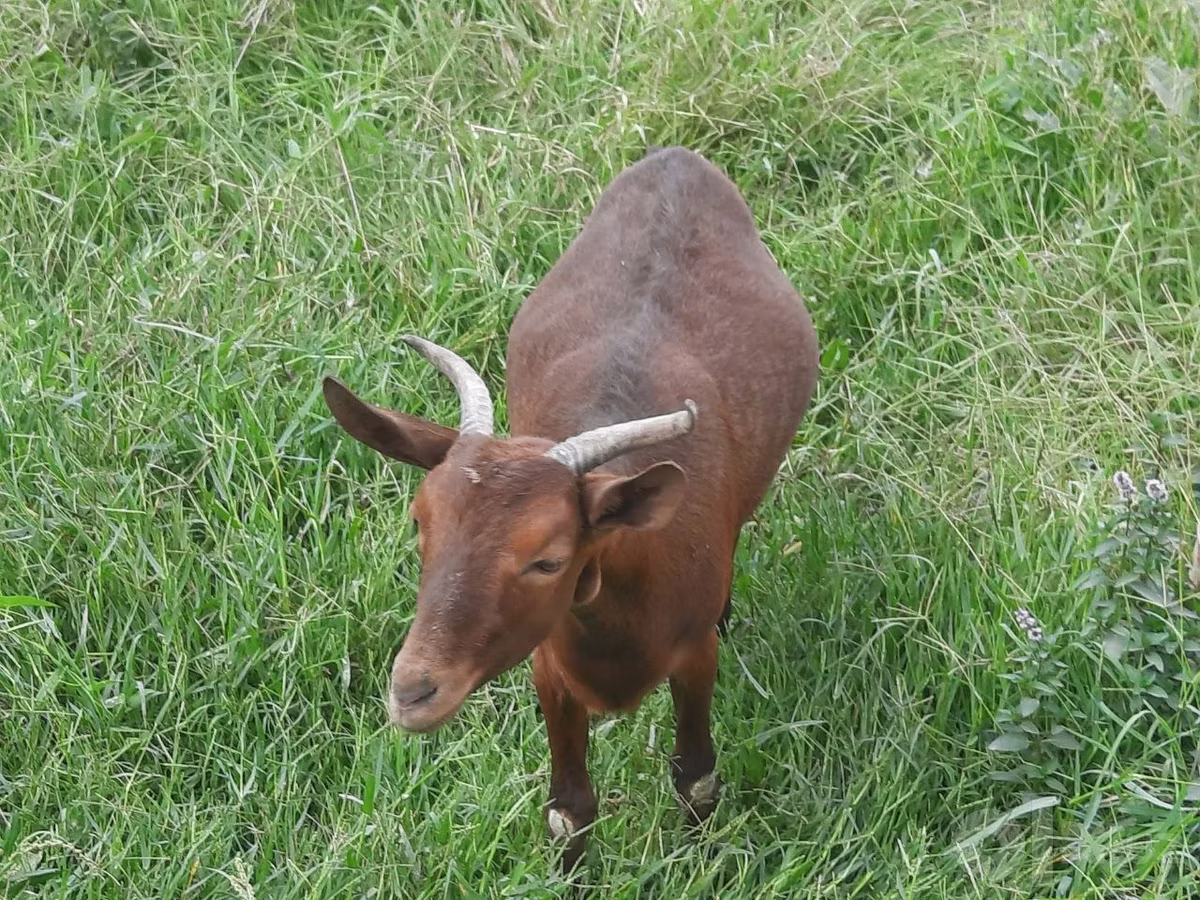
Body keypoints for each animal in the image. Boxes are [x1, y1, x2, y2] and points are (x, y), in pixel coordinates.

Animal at [323, 146, 818, 868]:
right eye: (420, 526)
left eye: (548, 560)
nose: (413, 693)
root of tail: (677, 158)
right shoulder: (547, 666)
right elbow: (569, 809)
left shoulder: (694, 655)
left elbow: (696, 777)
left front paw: (699, 864)